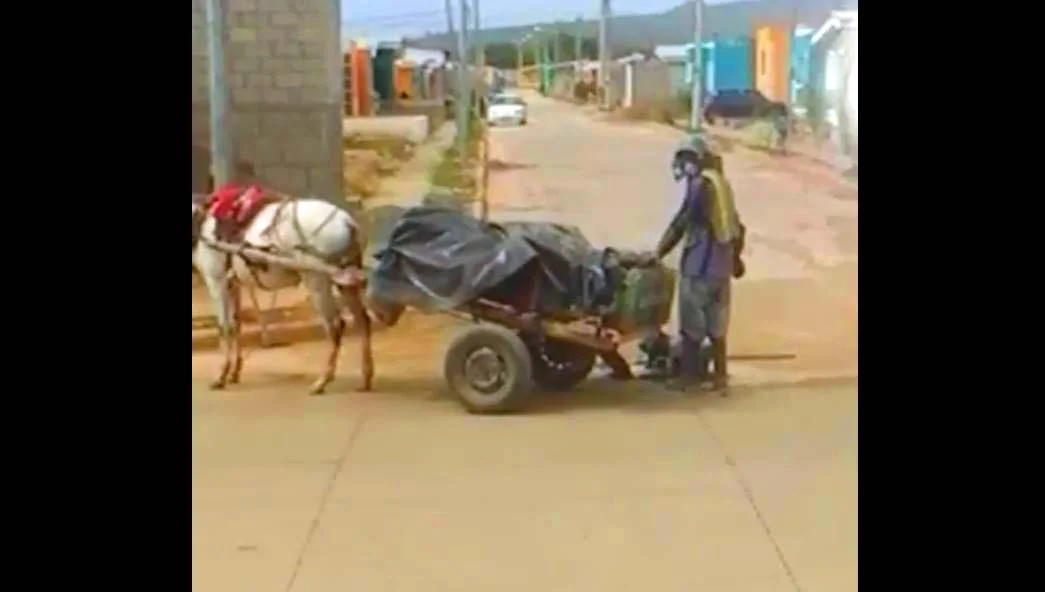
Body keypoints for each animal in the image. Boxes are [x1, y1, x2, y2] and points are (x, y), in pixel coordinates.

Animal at [190, 197, 374, 396]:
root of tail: (346, 221)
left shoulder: (217, 281)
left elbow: (225, 328)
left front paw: (221, 376)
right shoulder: (234, 284)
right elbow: (236, 325)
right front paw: (234, 373)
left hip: (316, 278)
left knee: (335, 326)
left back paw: (322, 381)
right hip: (346, 278)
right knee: (362, 321)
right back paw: (365, 378)